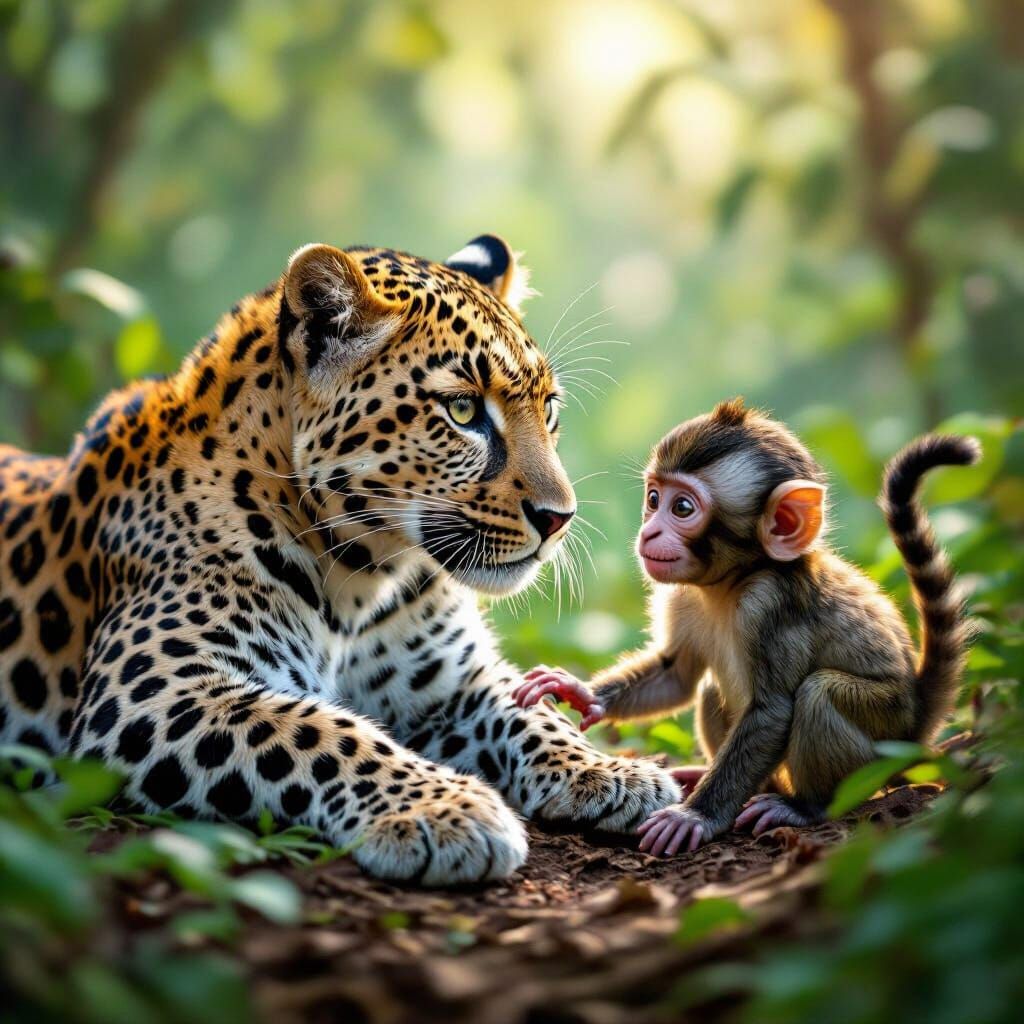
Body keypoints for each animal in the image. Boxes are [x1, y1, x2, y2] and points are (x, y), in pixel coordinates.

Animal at [0, 235, 678, 884]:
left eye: (550, 410)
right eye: (463, 410)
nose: (559, 517)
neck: (366, 574)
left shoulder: (451, 683)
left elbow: (533, 714)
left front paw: (614, 772)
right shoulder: (150, 691)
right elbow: (321, 731)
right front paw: (444, 811)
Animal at [514, 399, 979, 855]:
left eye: (682, 508)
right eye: (653, 497)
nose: (649, 533)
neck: (728, 584)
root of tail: (916, 719)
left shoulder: (770, 605)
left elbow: (771, 711)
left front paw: (695, 817)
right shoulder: (681, 596)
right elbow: (677, 675)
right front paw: (579, 692)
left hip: (882, 744)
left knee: (819, 692)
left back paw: (805, 806)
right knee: (711, 689)